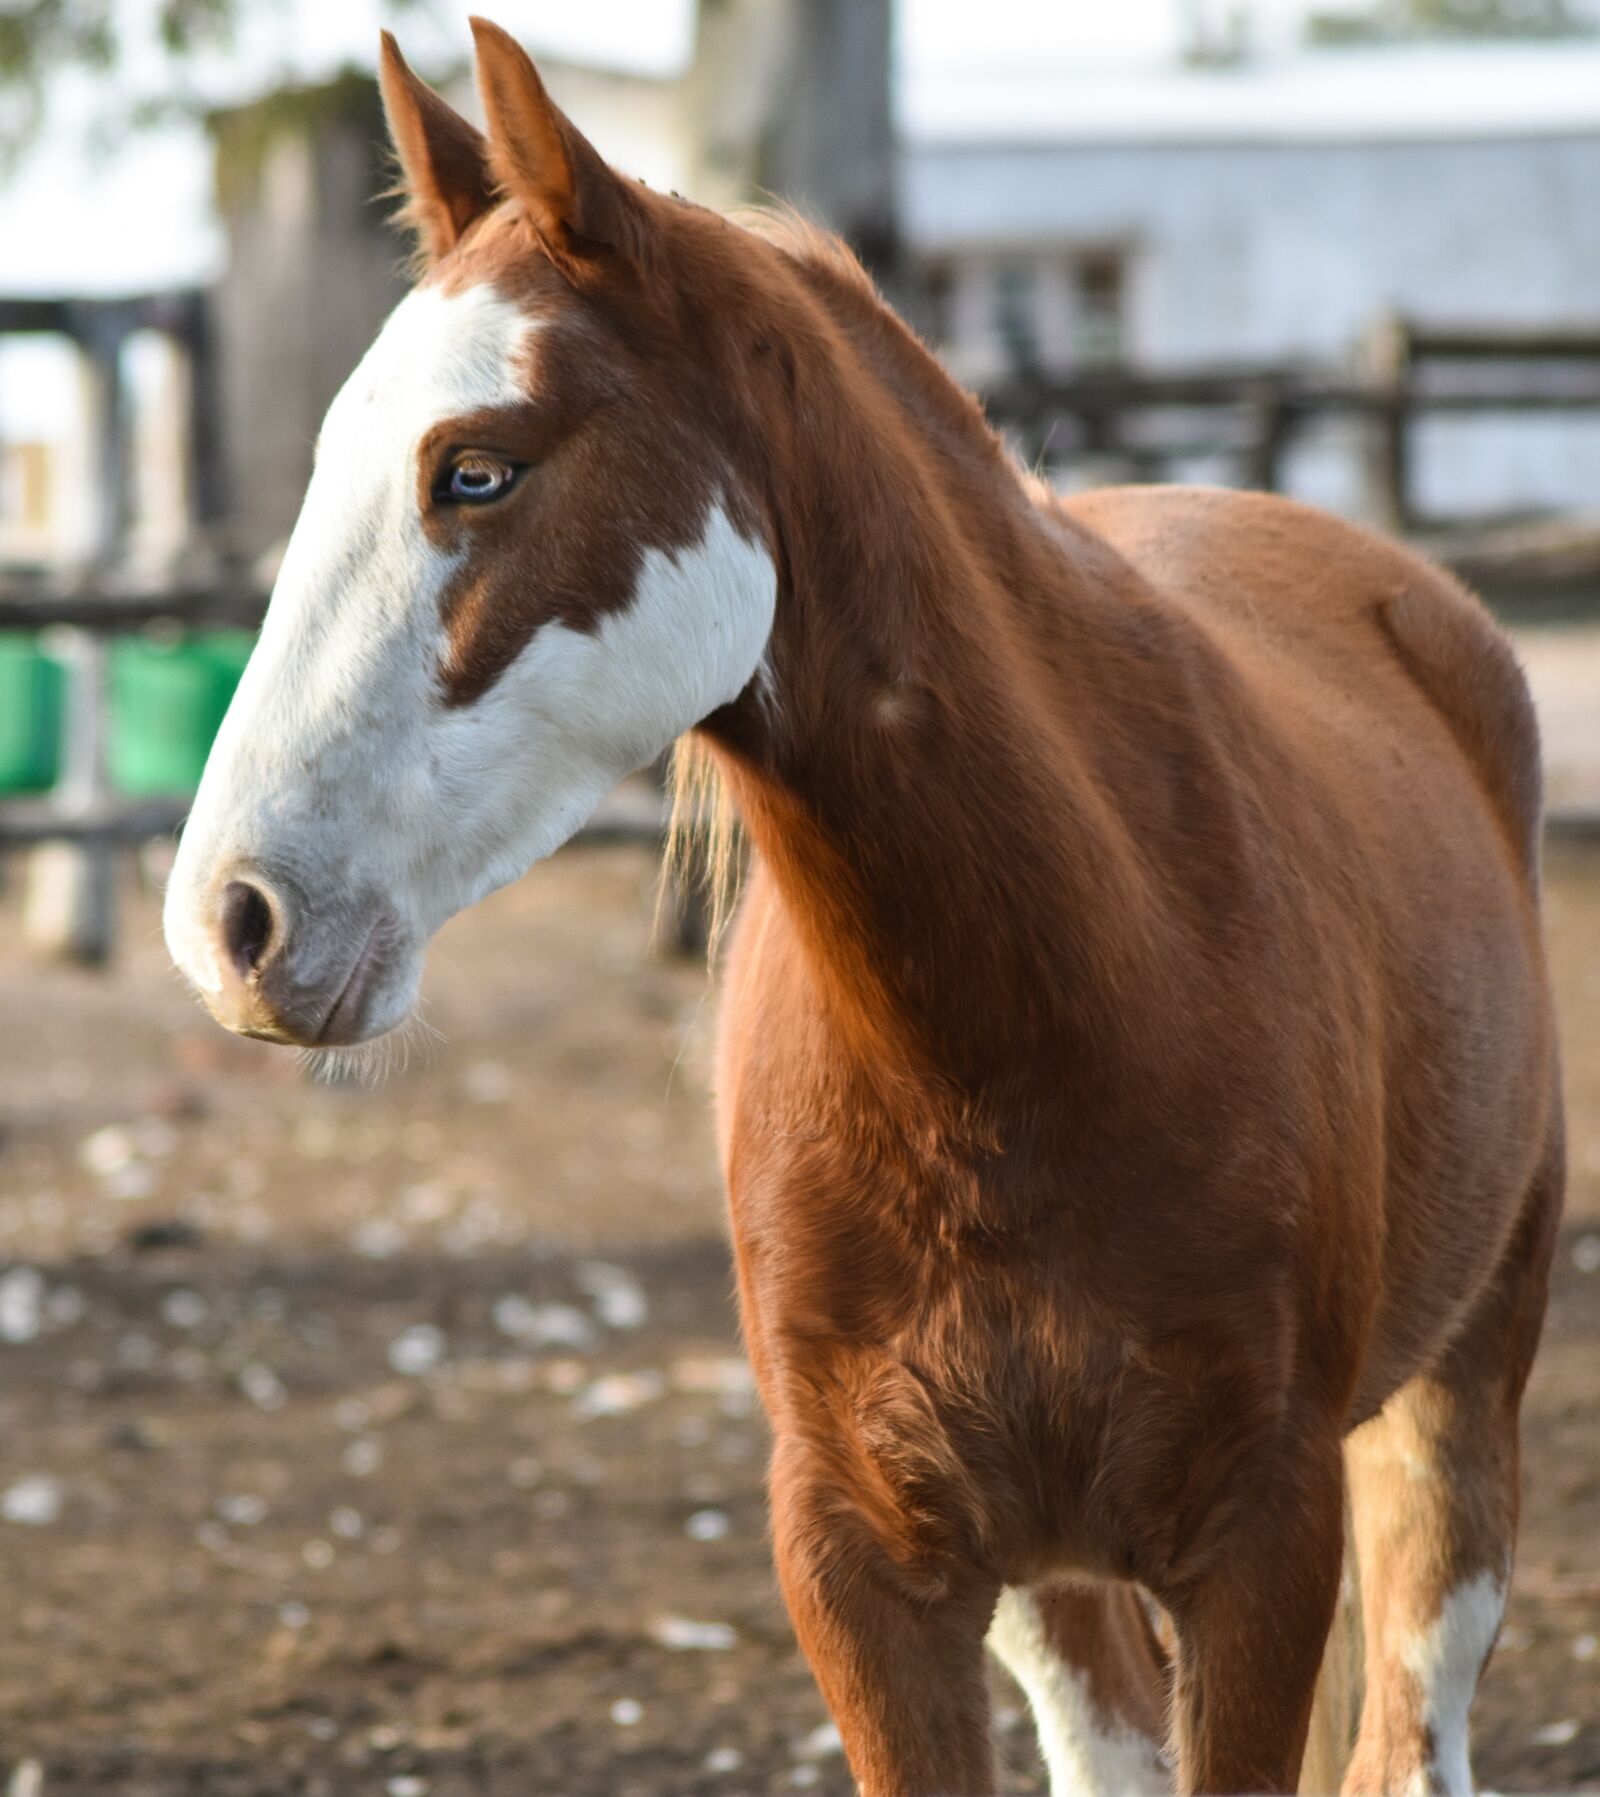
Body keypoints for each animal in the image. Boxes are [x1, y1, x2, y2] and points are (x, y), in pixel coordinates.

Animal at [163, 20, 1564, 1794]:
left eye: (476, 468)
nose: (233, 918)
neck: (1050, 1017)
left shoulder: (1265, 1547)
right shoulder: (865, 1565)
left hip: (1457, 1407)